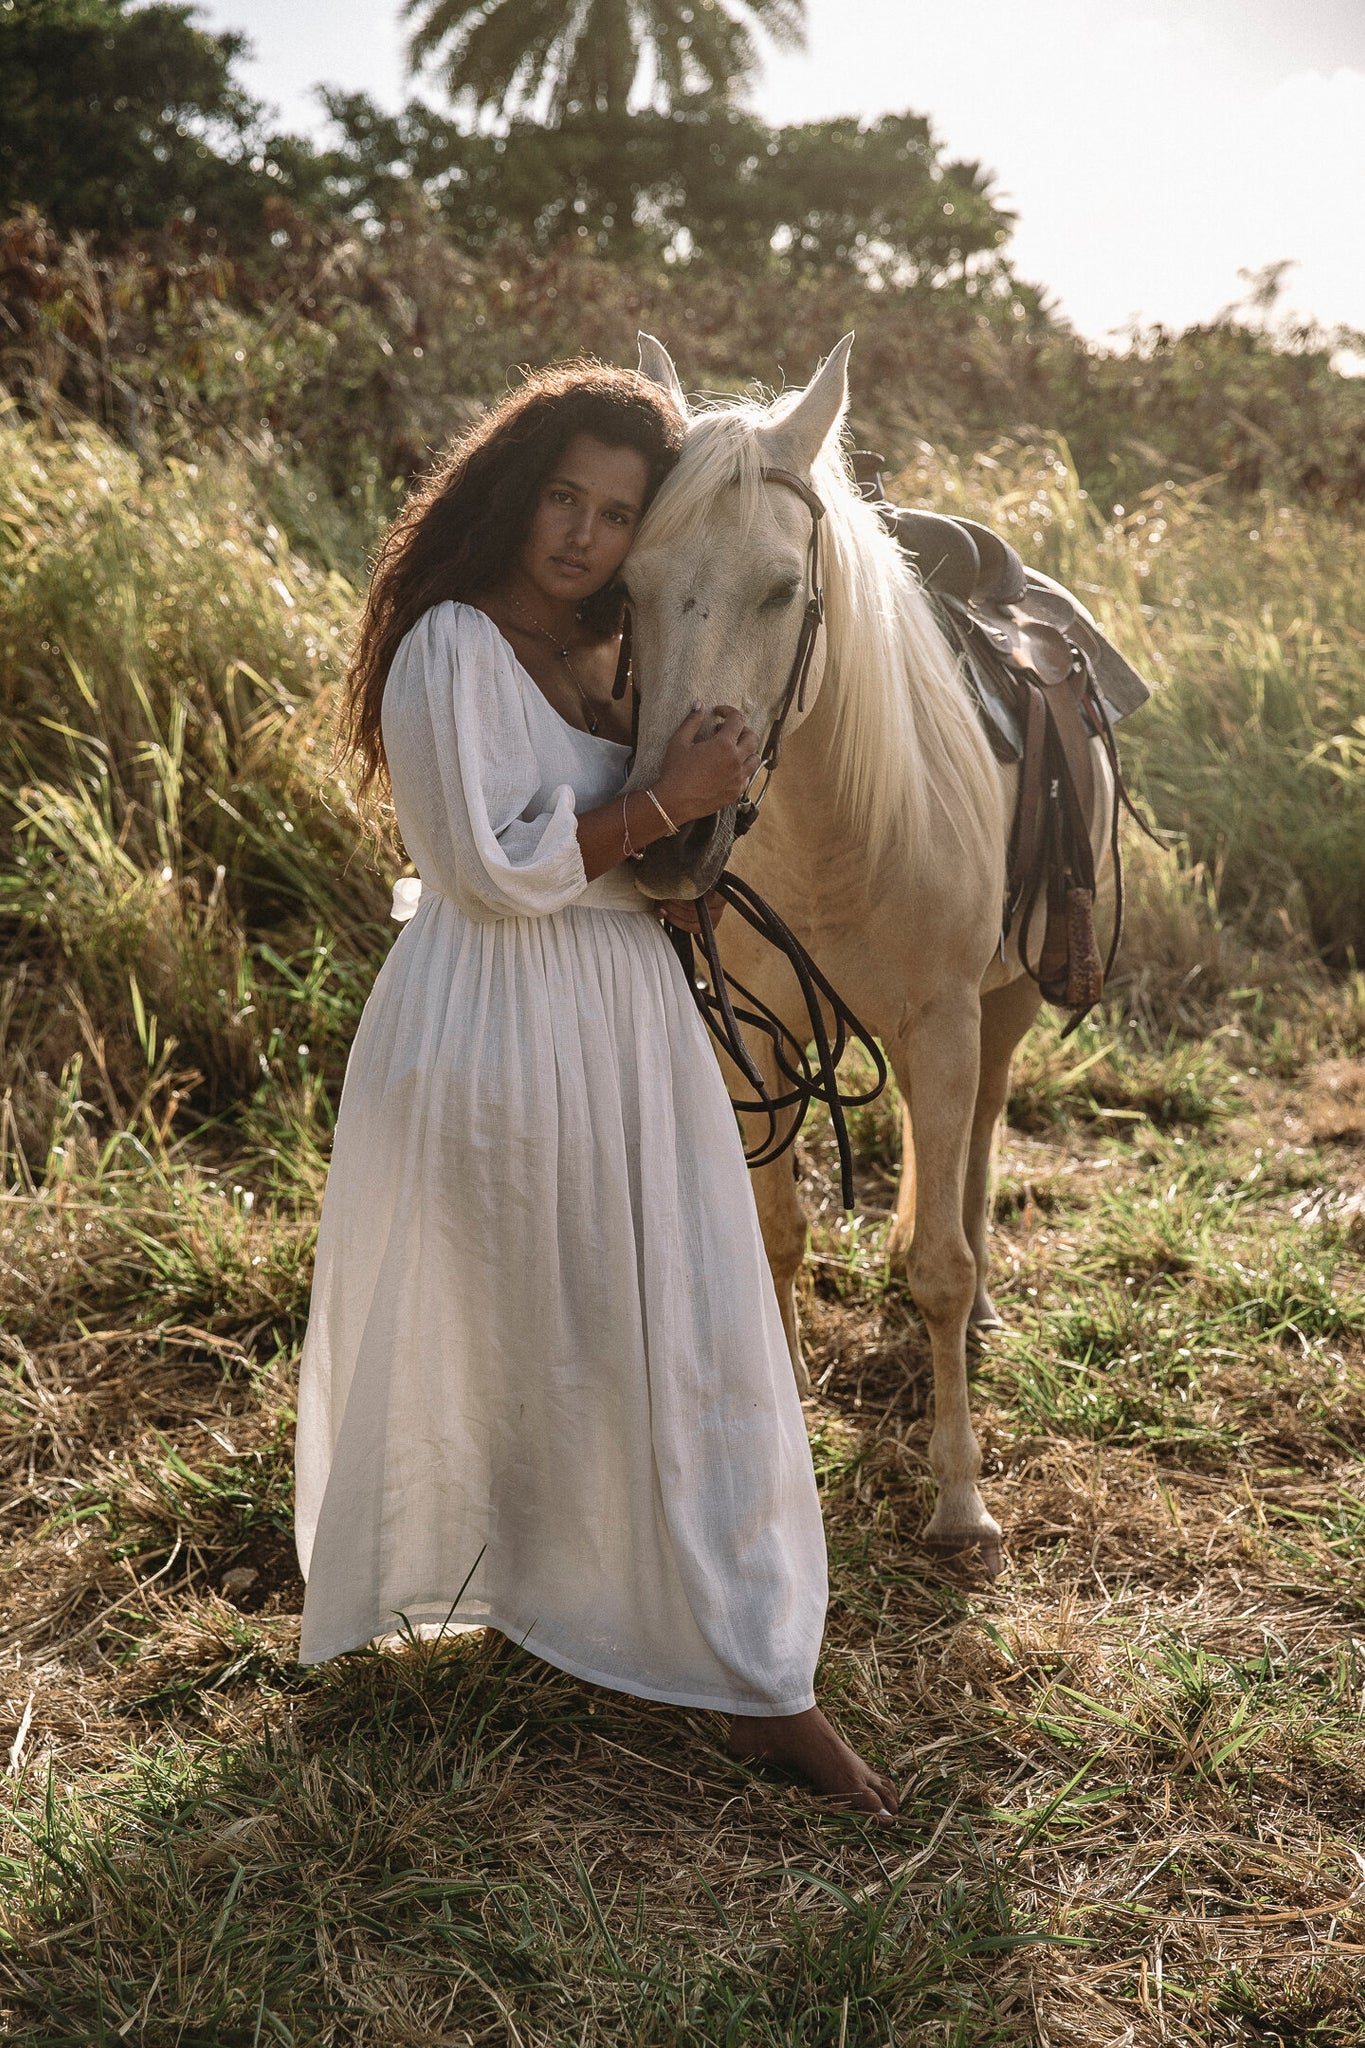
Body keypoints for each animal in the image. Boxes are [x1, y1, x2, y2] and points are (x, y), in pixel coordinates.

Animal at [626, 335, 1113, 1564]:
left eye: (780, 590)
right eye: (625, 590)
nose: (669, 841)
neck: (836, 827)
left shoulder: (939, 1021)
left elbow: (937, 1266)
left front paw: (959, 1498)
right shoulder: (753, 1040)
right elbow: (777, 1232)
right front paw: (788, 1408)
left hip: (1003, 1001)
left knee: (980, 1130)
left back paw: (979, 1302)